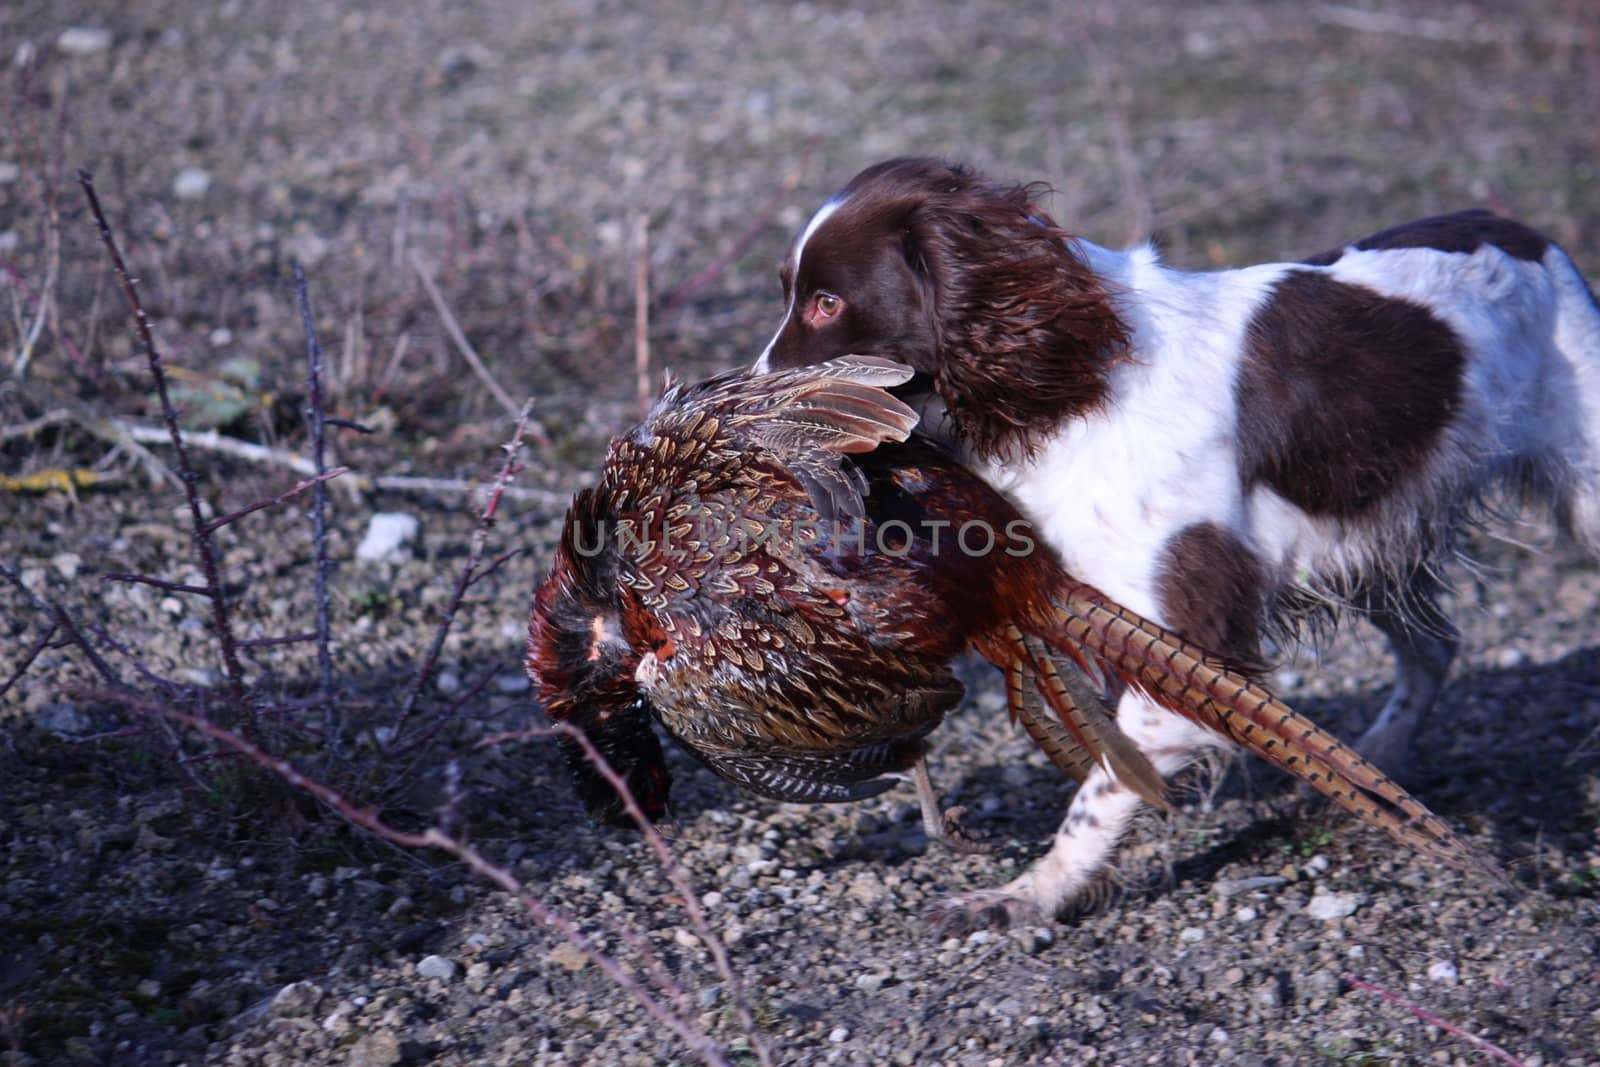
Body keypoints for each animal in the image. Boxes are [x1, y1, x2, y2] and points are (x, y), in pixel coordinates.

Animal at [755, 154, 1600, 927]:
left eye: (827, 302)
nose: (745, 401)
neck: (1079, 385)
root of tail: (1523, 233)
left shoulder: (1189, 640)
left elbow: (1104, 785)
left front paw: (1031, 894)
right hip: (1365, 544)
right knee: (1433, 650)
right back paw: (1378, 766)